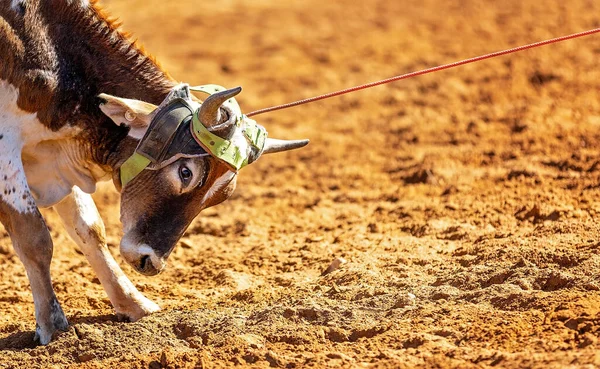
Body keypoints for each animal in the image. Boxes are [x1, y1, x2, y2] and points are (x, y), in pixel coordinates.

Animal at [0, 0, 308, 344]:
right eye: (185, 172)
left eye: (220, 197)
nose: (150, 262)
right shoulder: (7, 148)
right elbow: (35, 238)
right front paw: (53, 325)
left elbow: (90, 230)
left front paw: (133, 303)